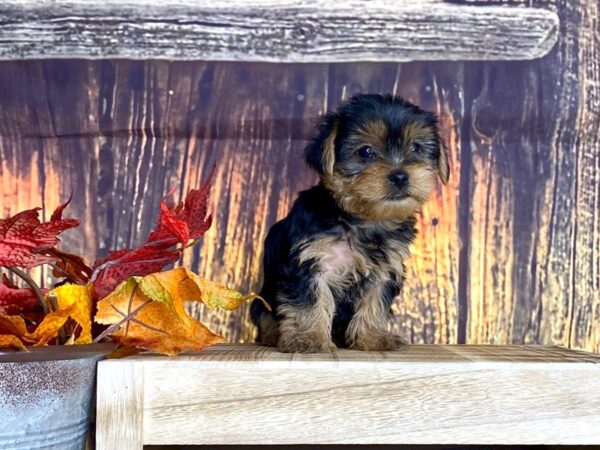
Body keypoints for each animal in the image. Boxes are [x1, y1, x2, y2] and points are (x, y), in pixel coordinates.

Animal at [251, 93, 448, 352]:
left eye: (416, 147)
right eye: (365, 151)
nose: (400, 176)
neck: (363, 220)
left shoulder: (384, 270)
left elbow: (375, 303)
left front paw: (373, 337)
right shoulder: (311, 262)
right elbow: (308, 302)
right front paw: (308, 338)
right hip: (262, 299)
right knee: (263, 315)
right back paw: (274, 334)